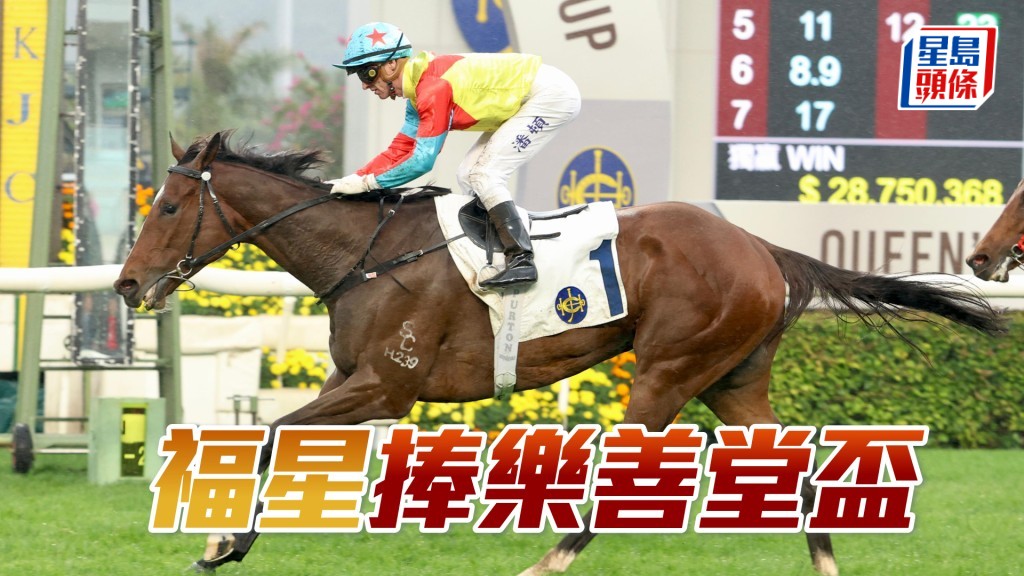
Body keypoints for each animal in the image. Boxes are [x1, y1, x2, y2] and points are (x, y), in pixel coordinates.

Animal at [114, 132, 1006, 576]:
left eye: (167, 206)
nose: (125, 284)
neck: (365, 252)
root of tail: (762, 247)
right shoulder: (353, 380)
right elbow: (276, 445)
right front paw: (228, 542)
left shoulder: (385, 388)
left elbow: (268, 438)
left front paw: (219, 542)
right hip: (732, 380)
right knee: (799, 475)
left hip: (670, 371)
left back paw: (543, 564)